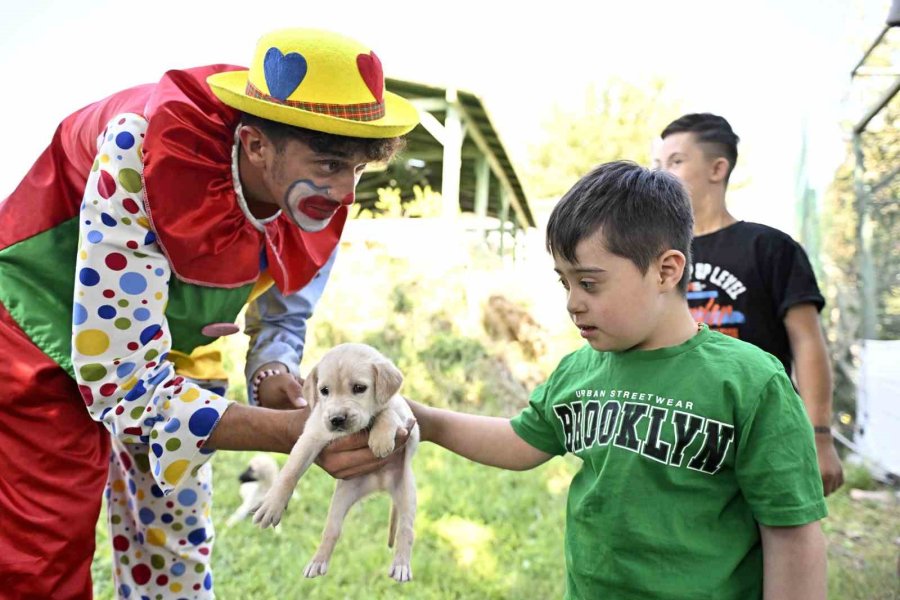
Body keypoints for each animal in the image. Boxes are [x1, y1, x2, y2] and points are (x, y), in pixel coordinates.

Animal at [251, 344, 420, 584]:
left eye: (359, 388)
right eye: (324, 391)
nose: (337, 419)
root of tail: (378, 485)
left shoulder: (408, 421)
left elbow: (387, 412)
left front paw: (380, 440)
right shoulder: (311, 435)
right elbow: (290, 472)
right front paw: (272, 504)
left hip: (407, 493)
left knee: (406, 530)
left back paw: (401, 565)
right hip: (341, 499)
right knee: (331, 530)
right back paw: (317, 562)